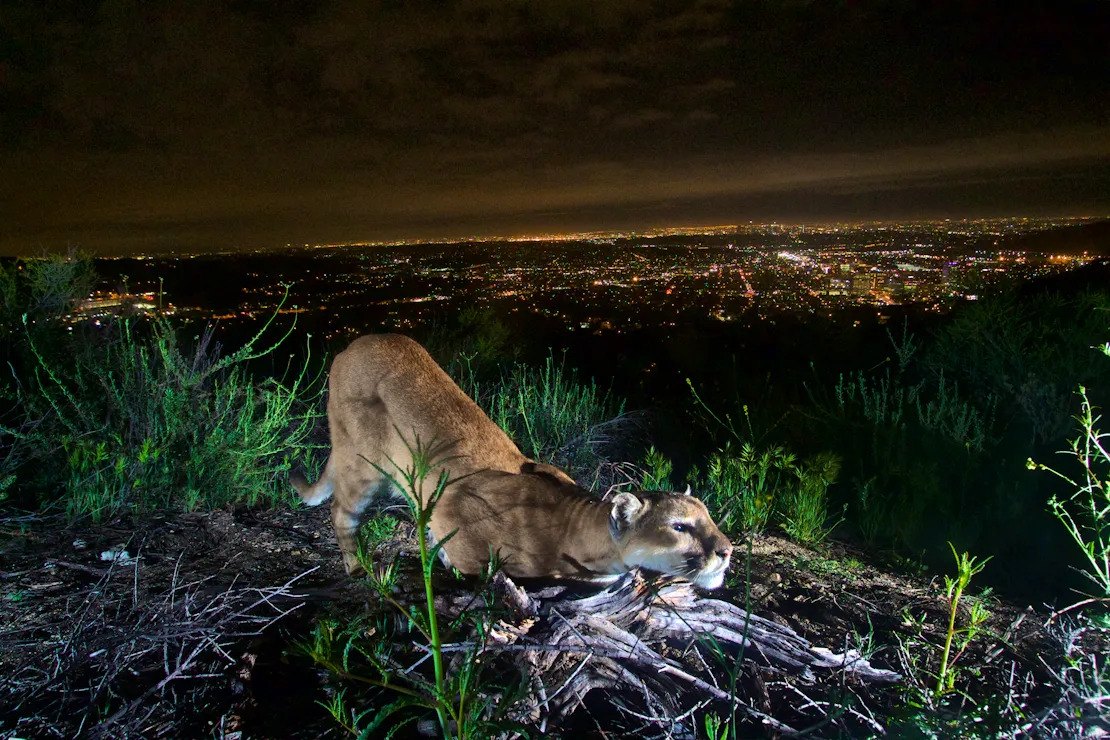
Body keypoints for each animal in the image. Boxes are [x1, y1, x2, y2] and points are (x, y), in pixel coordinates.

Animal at [291, 334, 732, 589]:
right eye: (679, 526)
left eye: (710, 519)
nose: (727, 551)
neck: (575, 528)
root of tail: (352, 345)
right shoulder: (454, 508)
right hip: (363, 465)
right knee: (341, 512)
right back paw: (359, 569)